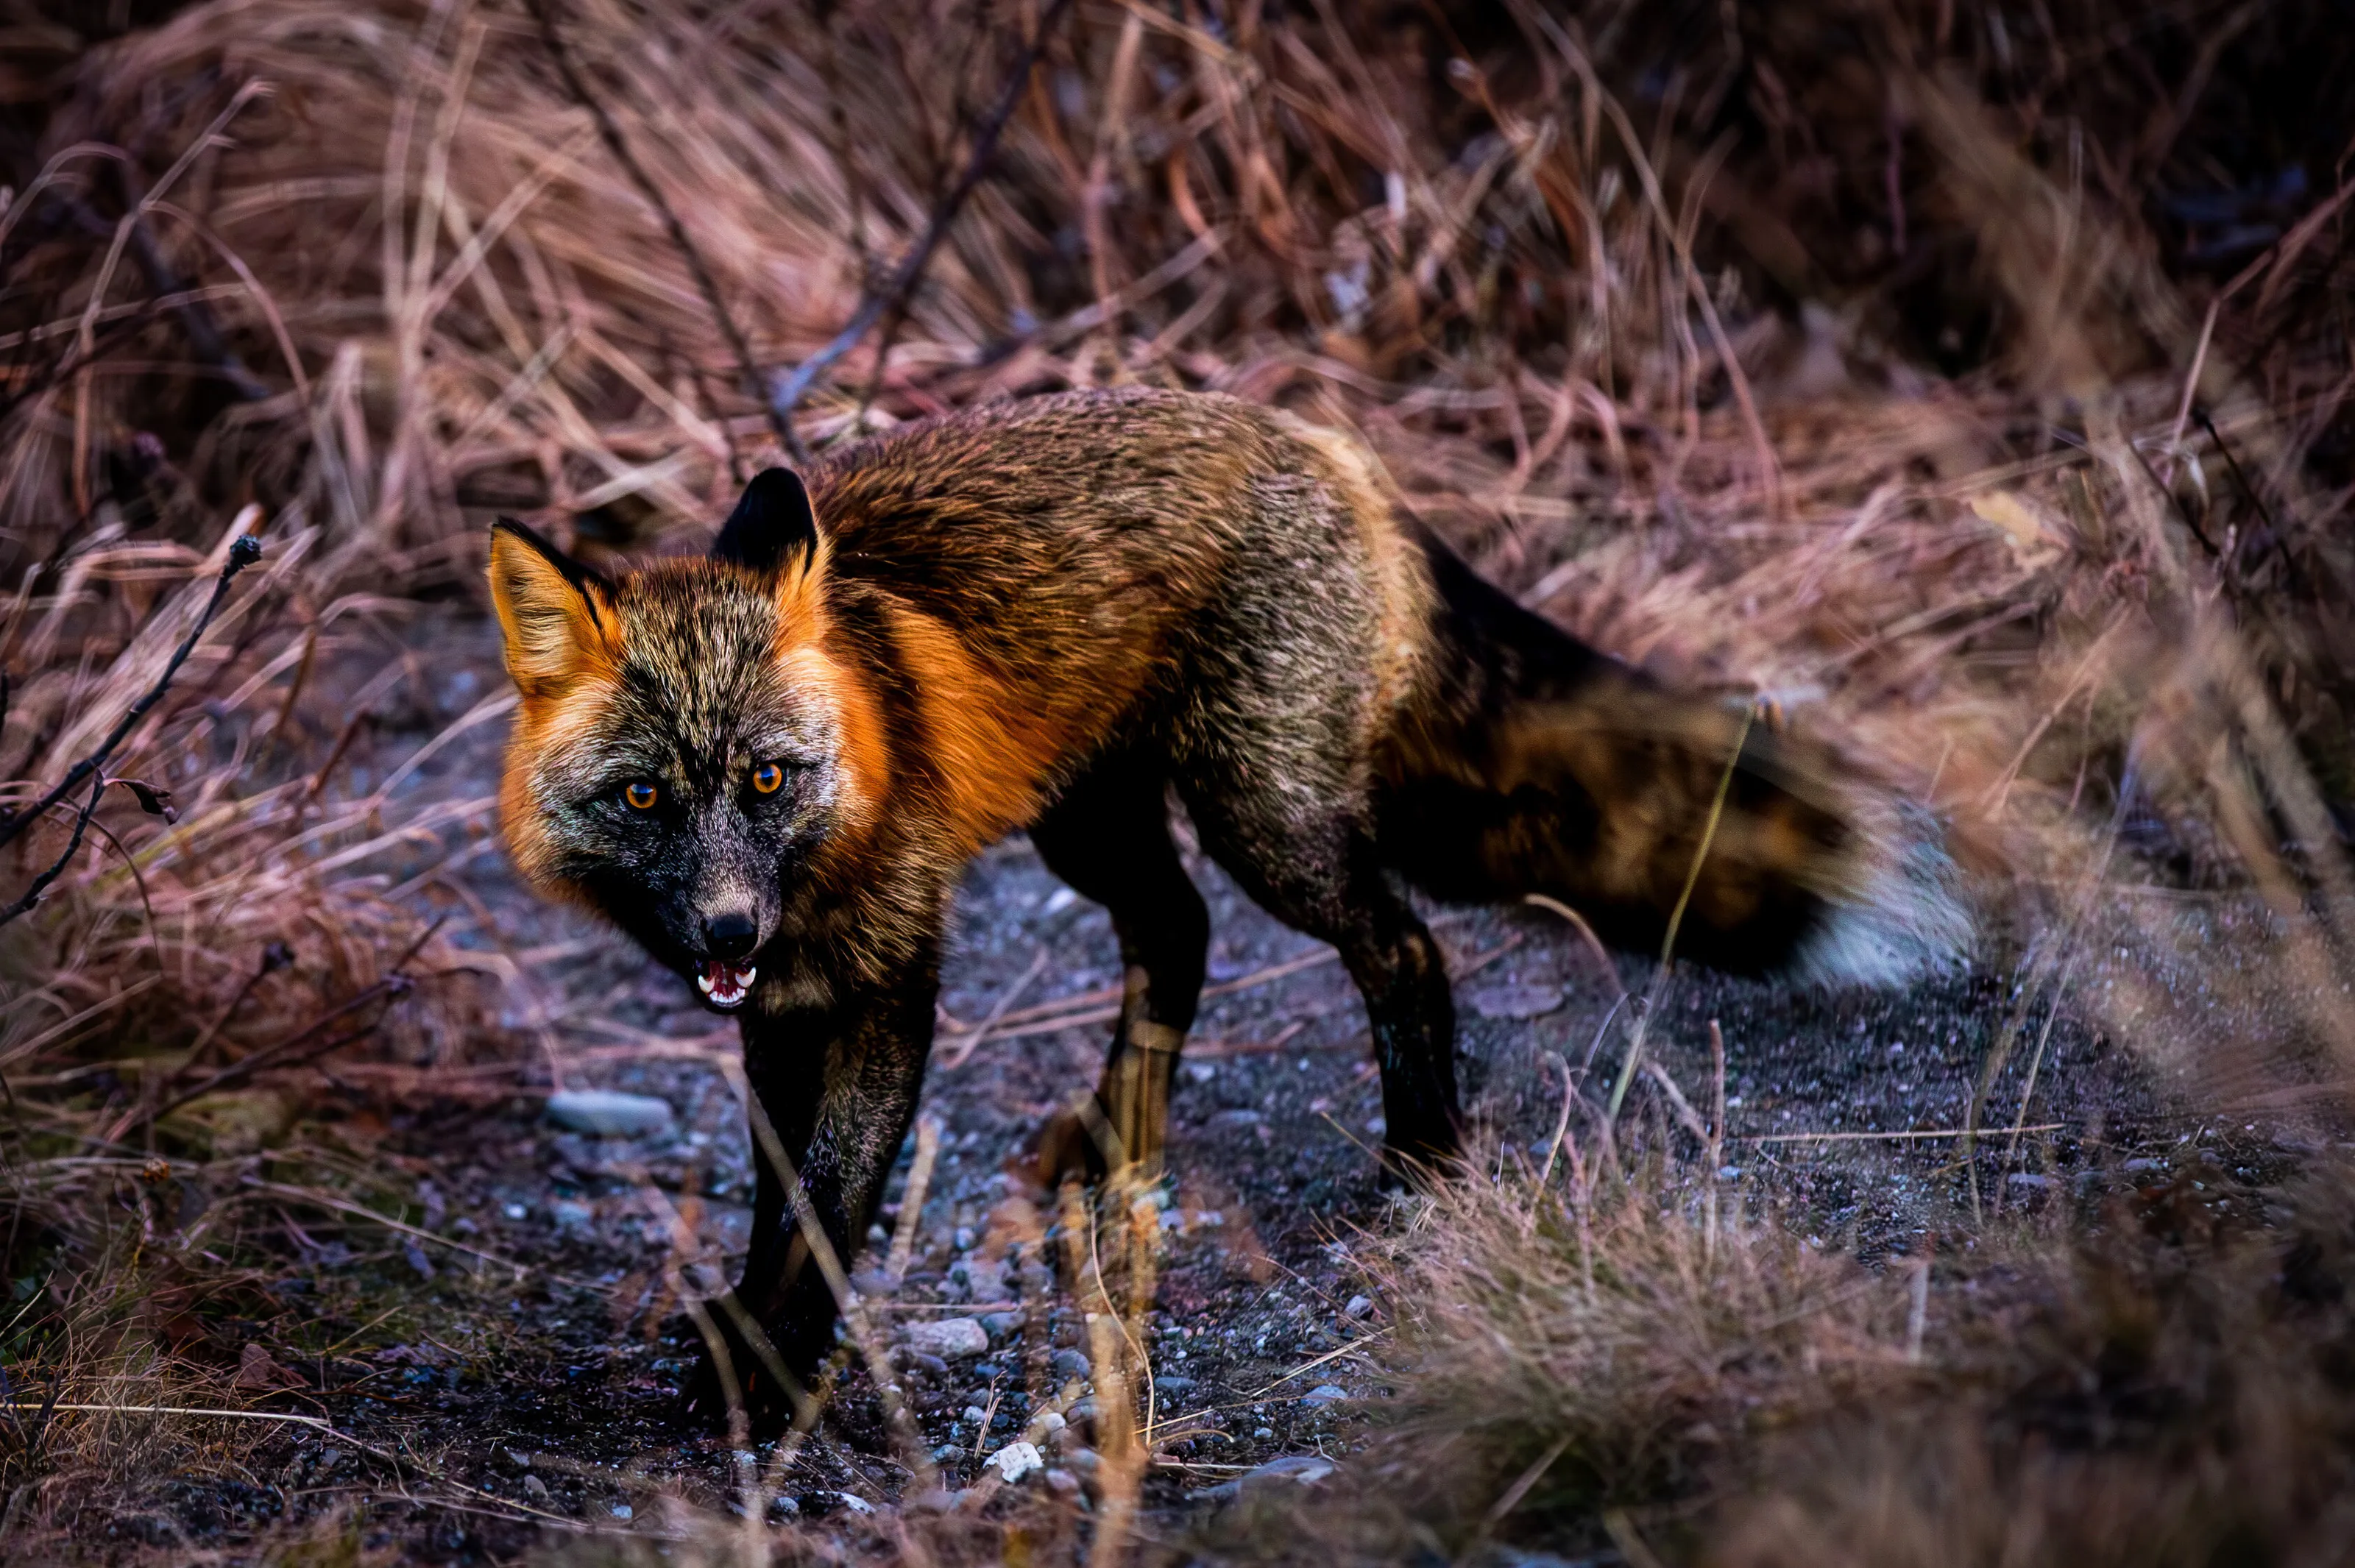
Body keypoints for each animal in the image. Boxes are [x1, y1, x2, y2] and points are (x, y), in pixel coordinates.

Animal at [487, 386, 1968, 1425]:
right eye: (643, 798)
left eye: (768, 776)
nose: (729, 930)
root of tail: (1326, 443)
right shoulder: (781, 1010)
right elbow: (776, 1201)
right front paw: (746, 1335)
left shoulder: (890, 992)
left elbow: (831, 1214)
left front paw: (774, 1382)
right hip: (1095, 822)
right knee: (1181, 936)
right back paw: (1113, 1143)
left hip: (1267, 824)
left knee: (1402, 945)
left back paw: (1421, 1165)